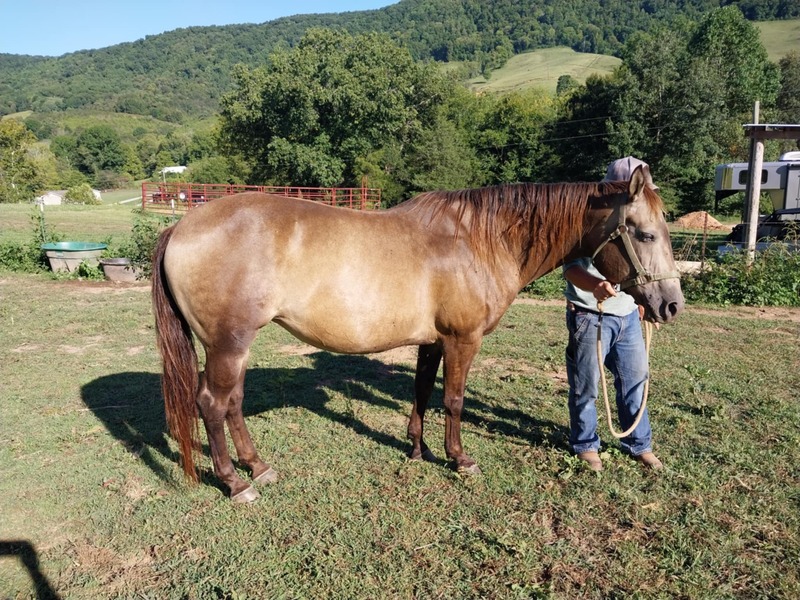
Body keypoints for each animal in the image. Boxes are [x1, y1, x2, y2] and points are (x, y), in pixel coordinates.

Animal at [153, 164, 684, 502]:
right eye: (645, 233)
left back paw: (258, 467)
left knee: (232, 403)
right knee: (213, 404)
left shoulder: (433, 341)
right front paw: (459, 459)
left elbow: (422, 392)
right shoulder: (462, 339)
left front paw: (418, 449)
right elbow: (453, 399)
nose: (670, 304)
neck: (478, 240)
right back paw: (235, 483)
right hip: (228, 344)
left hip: (234, 348)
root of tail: (181, 227)